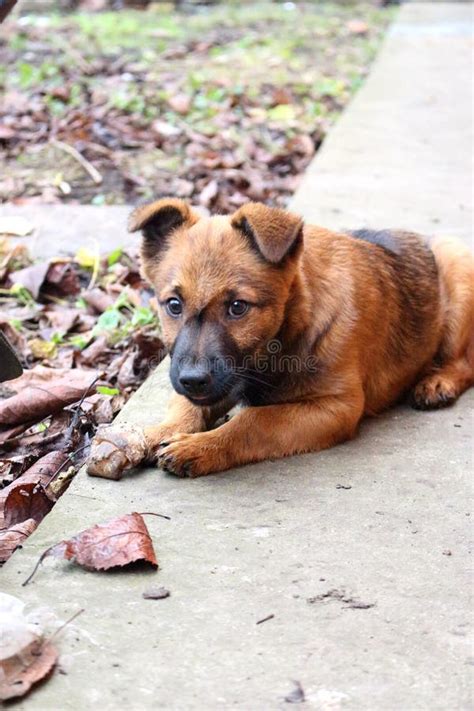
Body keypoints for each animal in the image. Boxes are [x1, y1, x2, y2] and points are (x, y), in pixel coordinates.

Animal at [88, 197, 470, 482]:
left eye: (238, 307)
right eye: (173, 305)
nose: (193, 379)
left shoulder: (337, 406)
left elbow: (255, 421)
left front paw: (199, 447)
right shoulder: (219, 382)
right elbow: (186, 410)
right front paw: (148, 437)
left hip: (457, 272)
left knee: (465, 363)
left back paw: (437, 382)